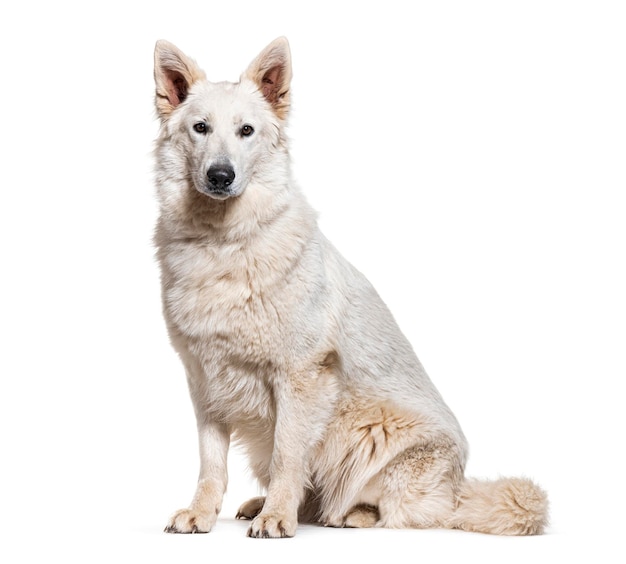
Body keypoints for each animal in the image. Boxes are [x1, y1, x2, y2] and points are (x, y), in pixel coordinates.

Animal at [151, 35, 544, 536]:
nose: (221, 175)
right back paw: (268, 505)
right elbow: (210, 463)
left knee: (409, 512)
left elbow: (288, 455)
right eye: (200, 128)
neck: (223, 244)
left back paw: (347, 514)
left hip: (374, 435)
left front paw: (277, 518)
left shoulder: (300, 376)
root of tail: (459, 487)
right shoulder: (204, 380)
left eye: (246, 131)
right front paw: (201, 514)